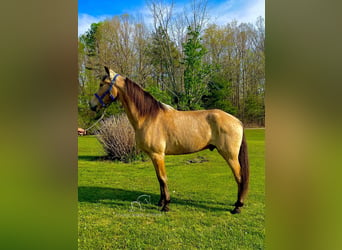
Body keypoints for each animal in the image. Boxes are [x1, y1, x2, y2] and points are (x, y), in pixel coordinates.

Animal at [89, 67, 250, 215]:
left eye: (101, 84)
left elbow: (163, 178)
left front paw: (166, 205)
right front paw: (160, 202)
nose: (92, 105)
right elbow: (159, 179)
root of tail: (237, 121)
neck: (148, 117)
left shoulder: (158, 155)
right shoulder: (154, 156)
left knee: (239, 178)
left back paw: (237, 207)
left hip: (230, 156)